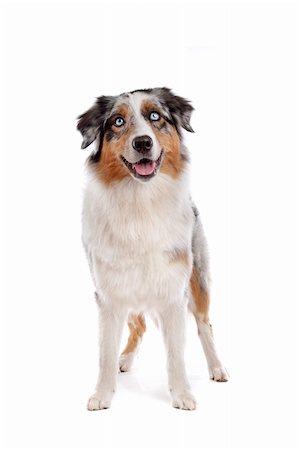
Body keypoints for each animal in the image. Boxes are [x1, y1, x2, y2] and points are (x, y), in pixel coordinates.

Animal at [78, 88, 230, 412]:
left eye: (155, 116)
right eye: (118, 121)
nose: (143, 142)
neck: (140, 203)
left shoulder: (173, 293)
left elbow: (176, 354)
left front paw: (182, 394)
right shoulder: (108, 294)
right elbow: (104, 353)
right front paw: (102, 394)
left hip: (197, 279)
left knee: (204, 325)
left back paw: (217, 367)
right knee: (139, 325)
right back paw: (125, 359)